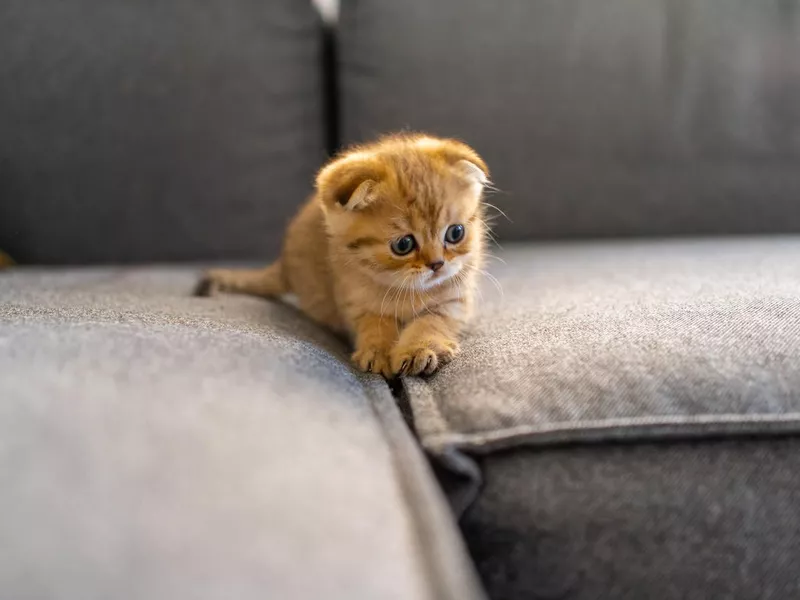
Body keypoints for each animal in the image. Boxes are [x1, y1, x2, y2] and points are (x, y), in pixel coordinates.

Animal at [197, 134, 490, 378]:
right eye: (404, 244)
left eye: (455, 233)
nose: (437, 264)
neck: (406, 289)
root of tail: (285, 265)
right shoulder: (355, 302)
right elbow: (374, 323)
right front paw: (379, 350)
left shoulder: (454, 300)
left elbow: (432, 321)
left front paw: (419, 348)